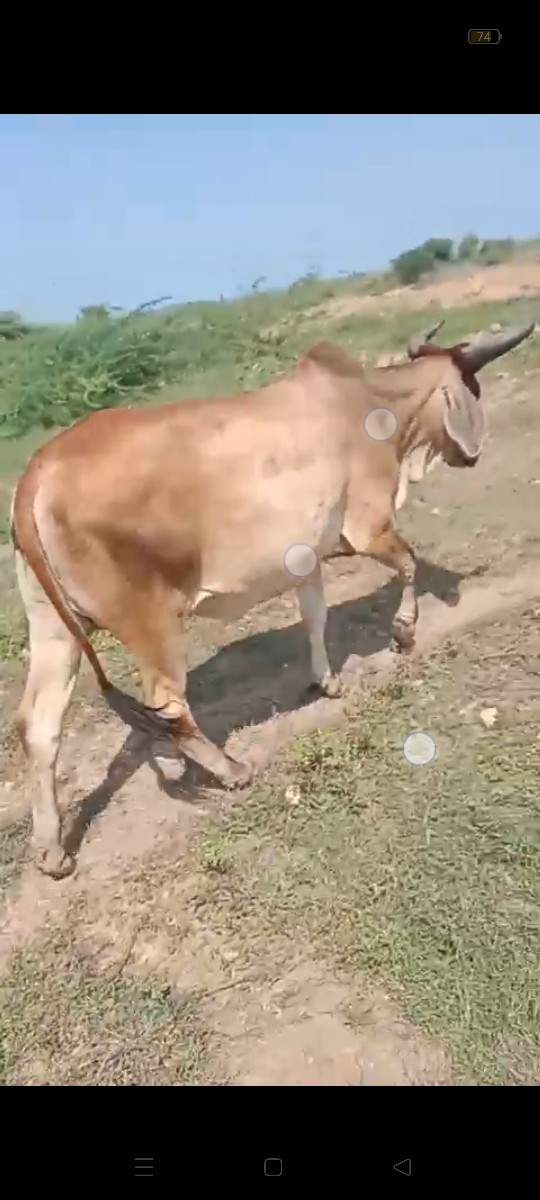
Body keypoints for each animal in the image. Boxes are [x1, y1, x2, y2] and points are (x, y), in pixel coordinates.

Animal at [10, 319, 534, 879]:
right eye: (471, 387)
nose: (472, 454)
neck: (375, 403)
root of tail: (36, 473)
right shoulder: (369, 526)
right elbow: (410, 564)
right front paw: (404, 631)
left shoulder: (307, 555)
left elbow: (315, 616)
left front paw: (327, 681)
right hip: (151, 618)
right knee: (166, 701)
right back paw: (230, 769)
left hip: (56, 627)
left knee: (40, 724)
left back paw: (53, 850)